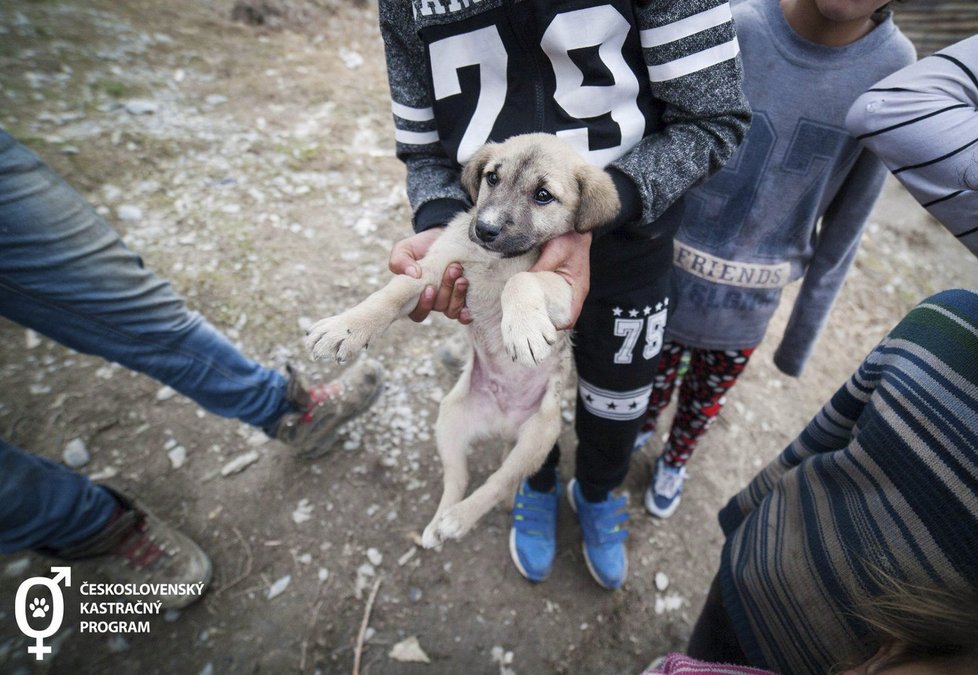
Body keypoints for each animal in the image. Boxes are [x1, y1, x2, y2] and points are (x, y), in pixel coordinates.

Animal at [304, 132, 616, 548]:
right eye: (492, 178)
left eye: (543, 195)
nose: (484, 229)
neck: (496, 260)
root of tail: (502, 425)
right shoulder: (429, 271)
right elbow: (389, 294)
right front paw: (345, 328)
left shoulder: (566, 291)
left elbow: (523, 280)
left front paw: (523, 330)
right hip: (449, 419)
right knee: (458, 476)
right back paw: (438, 523)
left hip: (538, 437)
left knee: (500, 481)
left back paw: (458, 519)